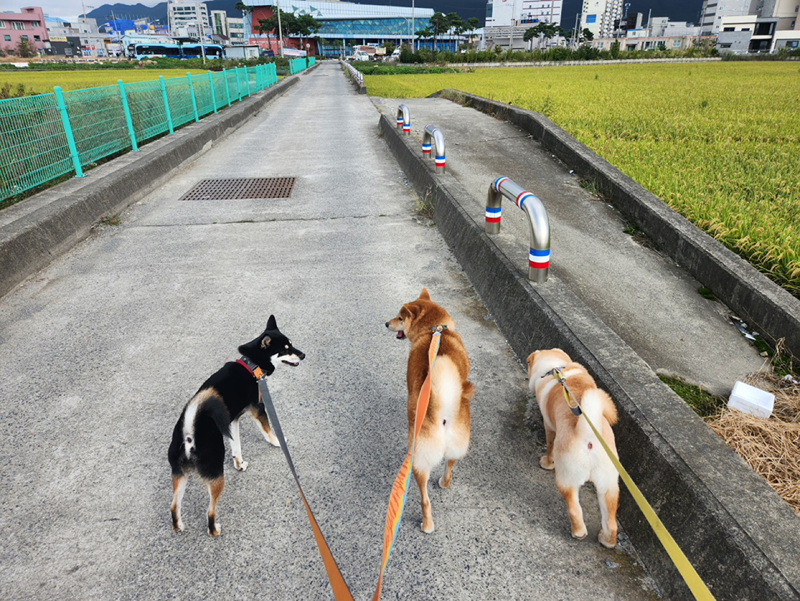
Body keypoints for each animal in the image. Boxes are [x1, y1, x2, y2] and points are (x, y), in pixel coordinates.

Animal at [168, 316, 304, 536]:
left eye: (290, 344)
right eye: (285, 349)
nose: (303, 354)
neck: (251, 365)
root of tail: (189, 435)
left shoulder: (231, 421)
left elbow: (236, 446)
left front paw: (239, 464)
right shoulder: (258, 408)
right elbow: (268, 430)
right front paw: (278, 441)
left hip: (180, 475)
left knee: (173, 506)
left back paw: (178, 525)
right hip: (215, 474)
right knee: (210, 512)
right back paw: (214, 530)